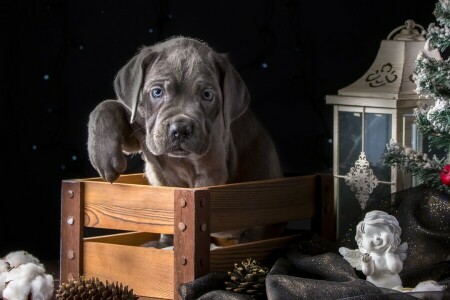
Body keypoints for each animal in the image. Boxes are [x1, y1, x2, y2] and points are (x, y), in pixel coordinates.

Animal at [87, 36, 284, 244]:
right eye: (157, 92)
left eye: (207, 95)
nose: (180, 129)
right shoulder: (139, 125)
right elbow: (106, 105)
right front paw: (103, 157)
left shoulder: (210, 173)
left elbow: (196, 210)